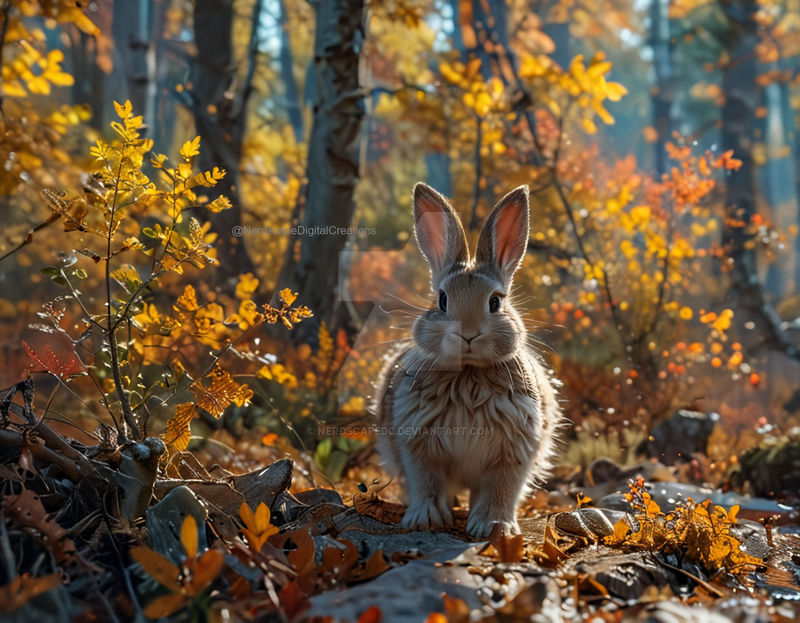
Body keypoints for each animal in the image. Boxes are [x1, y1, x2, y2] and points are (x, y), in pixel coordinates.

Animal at [373, 182, 563, 538]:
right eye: (442, 299)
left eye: (496, 302)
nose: (469, 335)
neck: (468, 373)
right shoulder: (417, 446)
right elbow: (426, 483)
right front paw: (426, 519)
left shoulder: (513, 452)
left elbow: (500, 488)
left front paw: (493, 526)